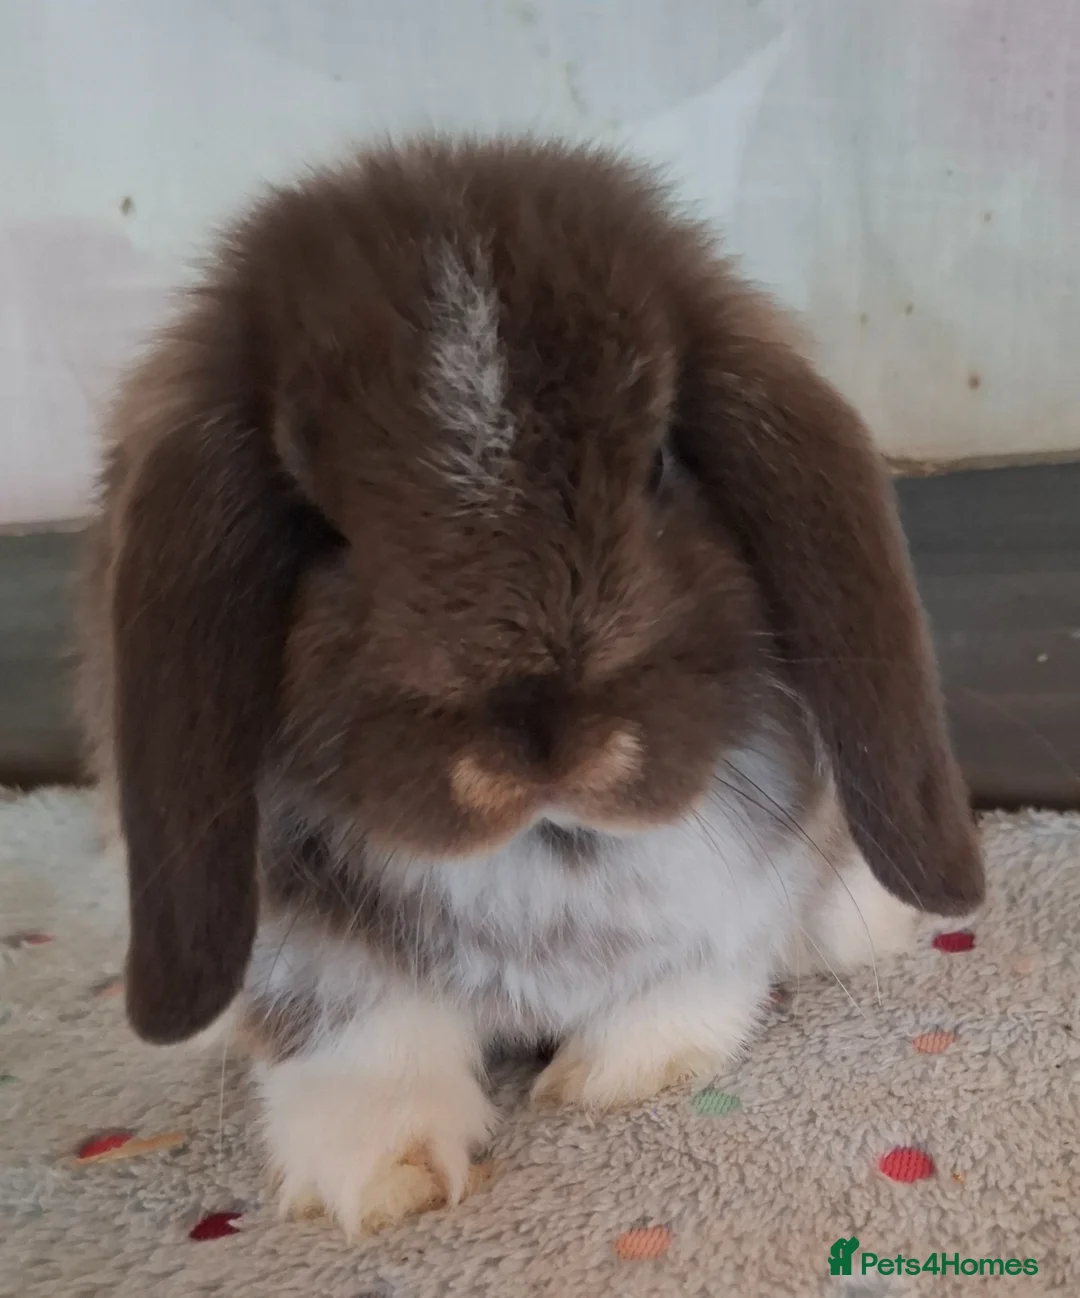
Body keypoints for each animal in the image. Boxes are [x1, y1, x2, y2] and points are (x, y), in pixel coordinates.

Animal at [77, 137, 983, 1238]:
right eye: (317, 524)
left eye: (660, 461)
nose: (548, 743)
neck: (549, 848)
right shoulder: (303, 949)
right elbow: (356, 1033)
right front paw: (376, 1173)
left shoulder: (728, 895)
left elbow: (695, 977)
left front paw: (616, 1076)